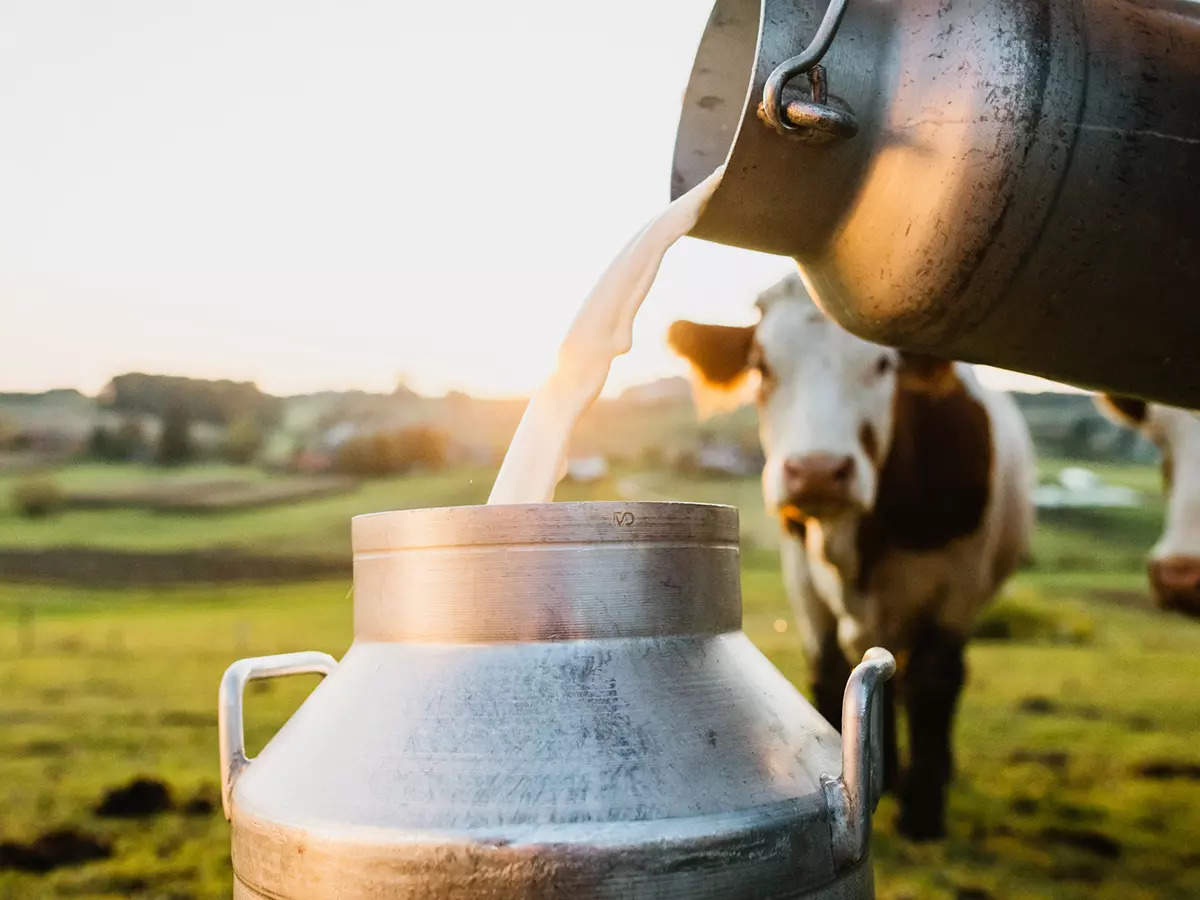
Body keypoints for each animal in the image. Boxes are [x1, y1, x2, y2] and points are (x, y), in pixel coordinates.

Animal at [672, 277, 1036, 844]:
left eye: (883, 364)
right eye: (761, 366)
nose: (817, 471)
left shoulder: (958, 587)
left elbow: (934, 680)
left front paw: (923, 812)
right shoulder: (802, 579)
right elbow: (828, 673)